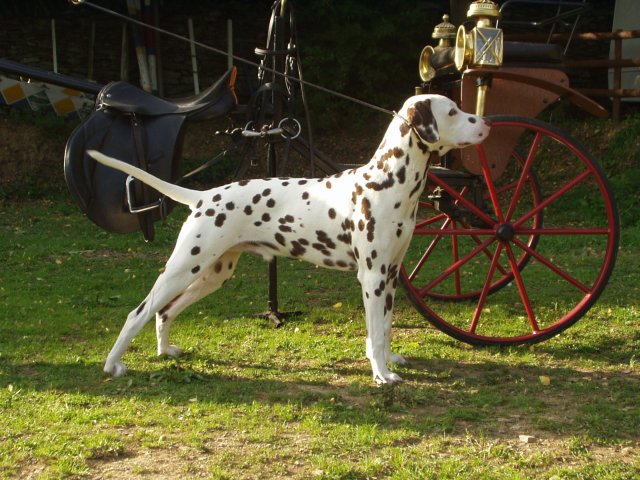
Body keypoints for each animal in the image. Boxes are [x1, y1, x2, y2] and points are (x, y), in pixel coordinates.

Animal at [89, 94, 490, 386]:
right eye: (453, 111)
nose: (486, 122)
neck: (386, 181)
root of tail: (203, 196)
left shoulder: (390, 276)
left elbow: (386, 328)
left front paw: (389, 360)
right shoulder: (373, 278)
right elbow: (375, 333)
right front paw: (381, 373)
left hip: (212, 274)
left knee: (164, 311)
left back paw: (164, 350)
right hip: (184, 267)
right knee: (139, 312)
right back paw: (112, 365)